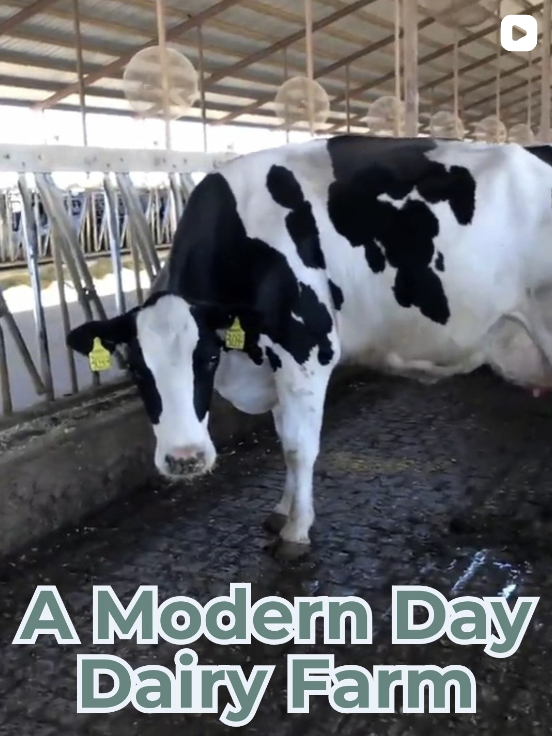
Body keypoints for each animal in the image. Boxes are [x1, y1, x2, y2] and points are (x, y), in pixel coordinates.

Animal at [65, 134, 552, 560]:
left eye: (207, 357)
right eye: (135, 368)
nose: (185, 460)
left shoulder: (307, 349)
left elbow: (300, 447)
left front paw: (296, 533)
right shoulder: (276, 361)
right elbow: (284, 439)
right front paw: (282, 512)